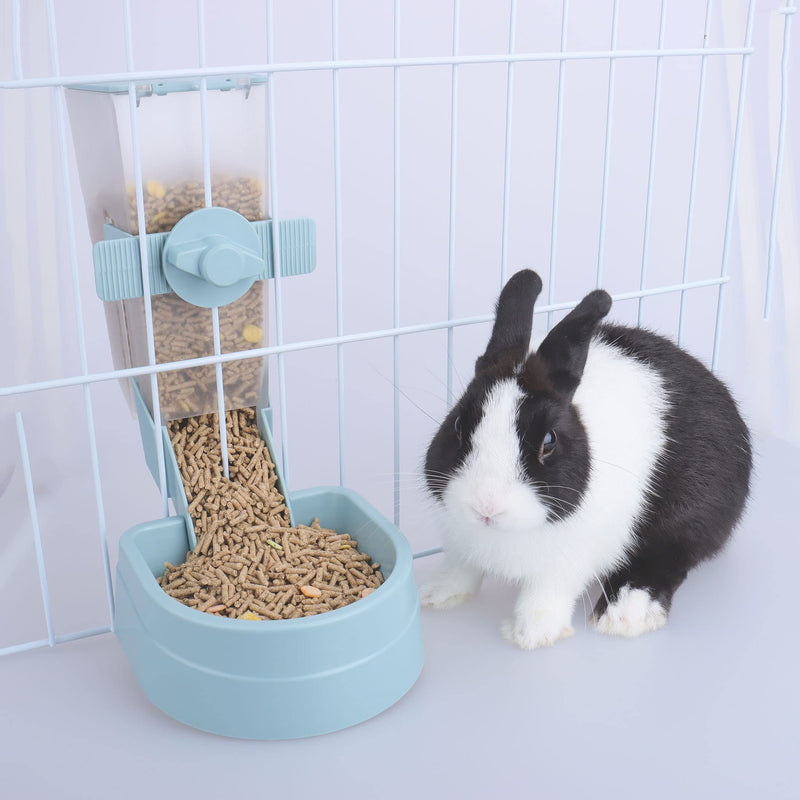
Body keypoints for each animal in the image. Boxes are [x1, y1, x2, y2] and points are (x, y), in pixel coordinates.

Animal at [421, 269, 752, 650]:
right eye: (458, 426)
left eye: (548, 442)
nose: (485, 507)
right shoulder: (460, 545)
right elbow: (460, 570)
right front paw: (435, 596)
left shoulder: (568, 561)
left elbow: (544, 595)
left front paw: (530, 636)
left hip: (689, 516)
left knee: (666, 560)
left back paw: (623, 615)